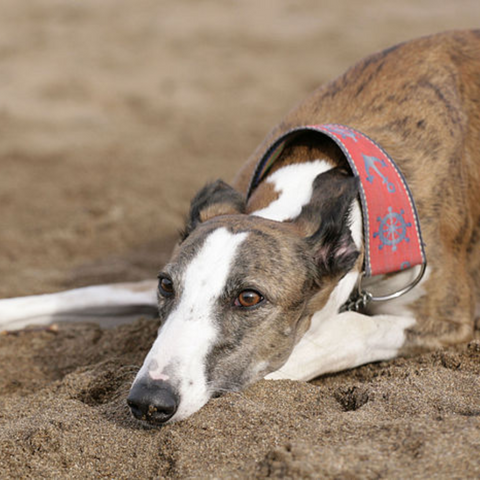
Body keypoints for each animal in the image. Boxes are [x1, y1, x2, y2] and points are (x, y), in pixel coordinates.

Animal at [0, 31, 480, 424]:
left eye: (250, 298)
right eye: (166, 285)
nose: (149, 401)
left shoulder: (447, 319)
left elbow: (335, 335)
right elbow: (75, 294)